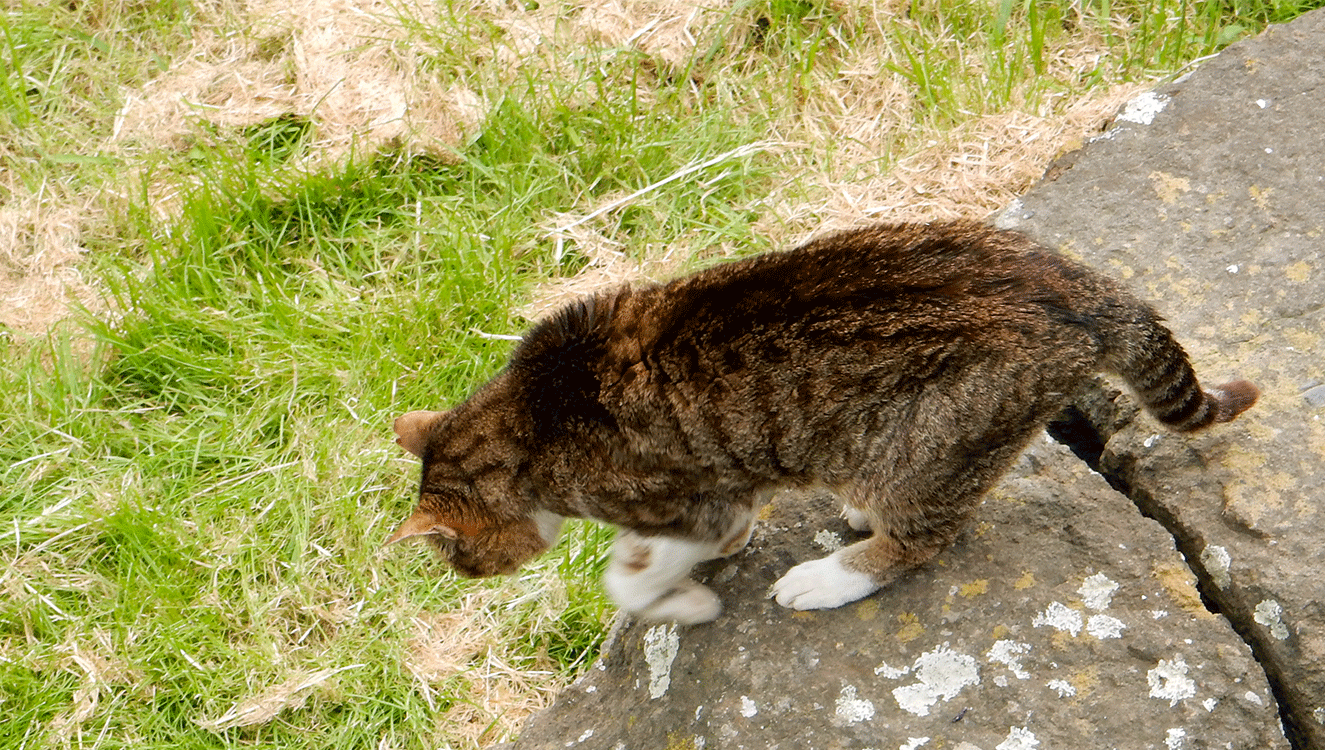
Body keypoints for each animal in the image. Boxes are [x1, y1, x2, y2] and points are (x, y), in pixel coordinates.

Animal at [384, 220, 1258, 625]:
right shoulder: (723, 494)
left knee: (920, 539)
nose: (463, 577)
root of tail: (1081, 284)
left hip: (932, 445)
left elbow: (626, 581)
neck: (527, 415)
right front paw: (677, 566)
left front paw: (679, 602)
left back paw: (831, 576)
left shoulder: (697, 501)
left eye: (458, 558)